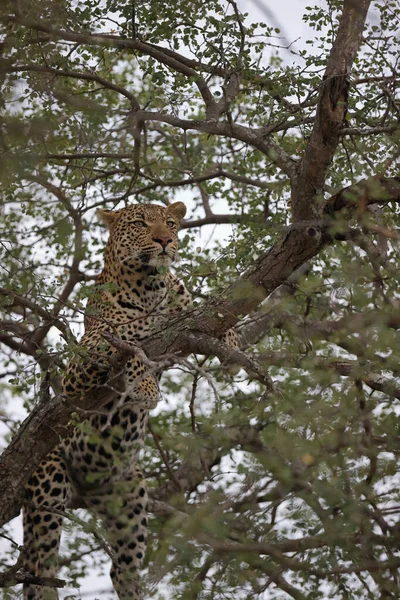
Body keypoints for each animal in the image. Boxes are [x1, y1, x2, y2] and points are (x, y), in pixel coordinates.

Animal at [21, 202, 238, 600]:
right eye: (140, 223)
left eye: (170, 223)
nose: (165, 240)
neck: (149, 285)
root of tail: (88, 487)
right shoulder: (85, 358)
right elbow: (128, 343)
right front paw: (146, 387)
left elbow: (209, 312)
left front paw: (230, 341)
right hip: (47, 486)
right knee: (40, 567)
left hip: (130, 499)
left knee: (121, 568)